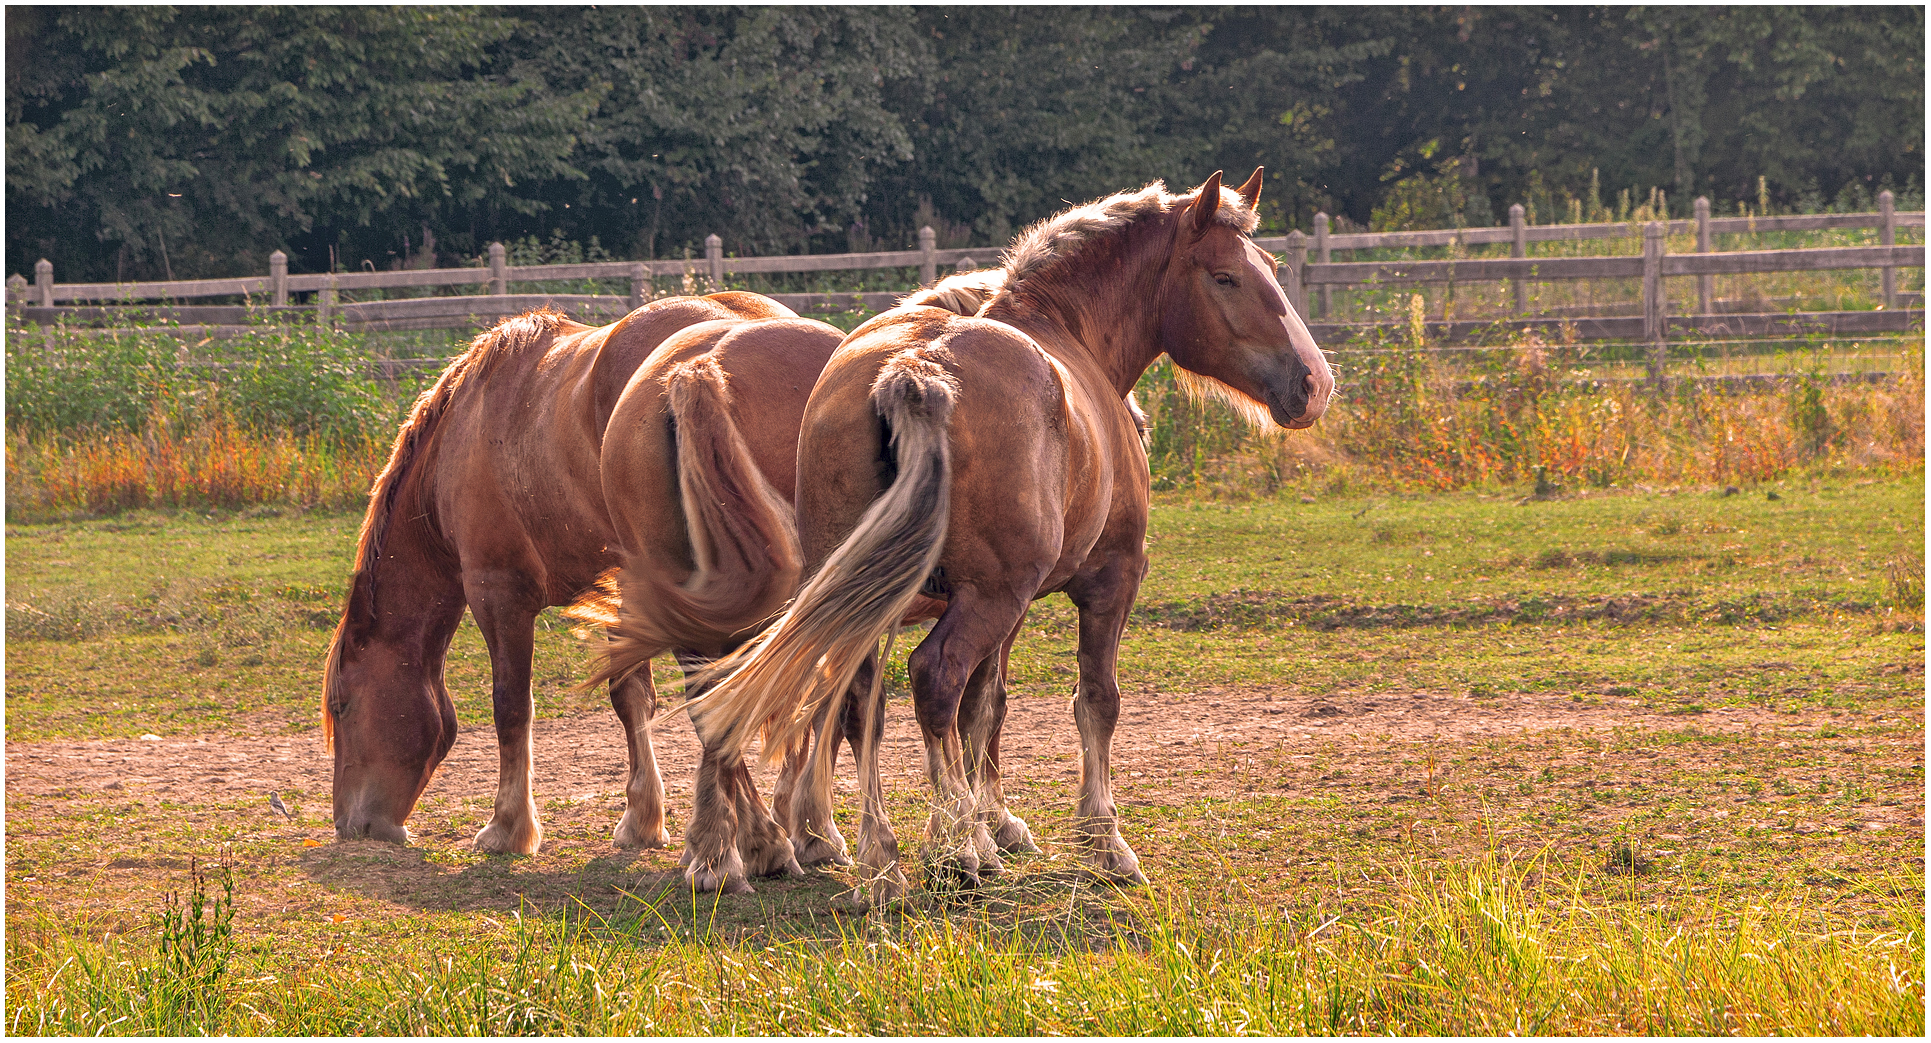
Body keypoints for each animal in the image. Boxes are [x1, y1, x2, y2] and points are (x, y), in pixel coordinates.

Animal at [323, 292, 835, 856]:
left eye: (343, 706)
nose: (349, 823)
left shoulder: (498, 592)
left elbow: (511, 706)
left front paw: (508, 827)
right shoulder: (623, 598)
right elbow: (632, 698)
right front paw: (642, 819)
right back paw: (803, 824)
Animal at [679, 169, 1334, 907]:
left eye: (1270, 266)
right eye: (1225, 276)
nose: (1313, 382)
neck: (1067, 337)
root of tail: (915, 369)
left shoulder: (1006, 608)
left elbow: (983, 705)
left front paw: (992, 822)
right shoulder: (1104, 584)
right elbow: (1089, 700)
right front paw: (1099, 840)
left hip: (884, 602)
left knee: (863, 702)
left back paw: (884, 860)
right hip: (987, 597)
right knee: (932, 677)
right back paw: (954, 850)